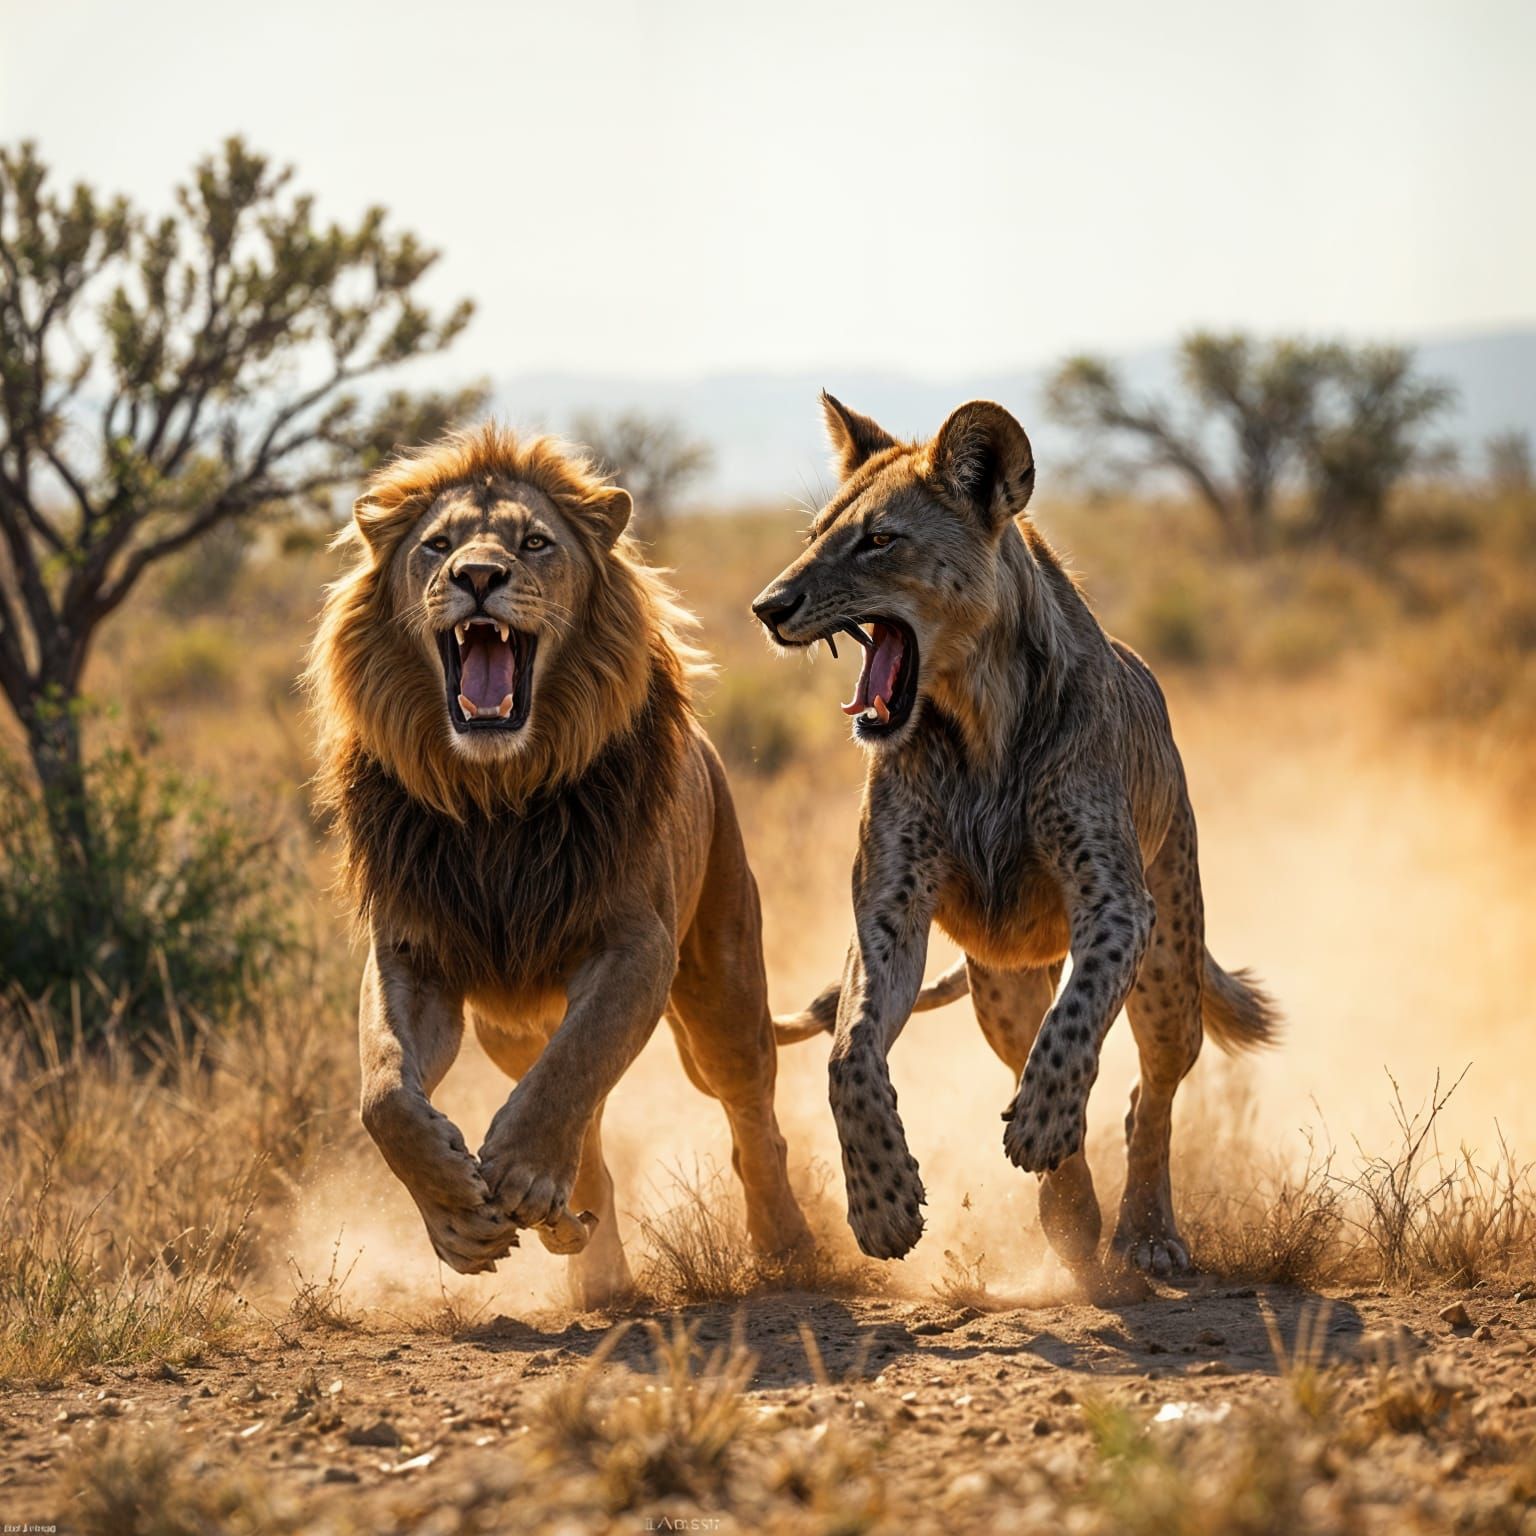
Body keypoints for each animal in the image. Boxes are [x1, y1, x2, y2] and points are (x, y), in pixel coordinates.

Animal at [306, 423, 820, 1305]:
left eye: (534, 543)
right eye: (437, 545)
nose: (477, 576)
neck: (496, 795)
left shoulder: (636, 947)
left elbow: (575, 1067)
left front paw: (516, 1170)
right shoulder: (413, 953)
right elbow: (383, 1091)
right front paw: (455, 1210)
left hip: (720, 989)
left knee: (750, 1117)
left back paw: (790, 1249)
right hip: (509, 1028)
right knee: (594, 1147)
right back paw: (590, 1266)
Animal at [750, 395, 1279, 1283]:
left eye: (879, 540)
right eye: (817, 531)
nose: (769, 605)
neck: (976, 711)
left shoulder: (1117, 902)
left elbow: (1078, 1019)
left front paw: (1041, 1122)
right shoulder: (888, 913)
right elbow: (850, 1054)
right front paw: (884, 1206)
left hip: (1170, 968)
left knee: (1150, 1095)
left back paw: (1145, 1233)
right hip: (998, 985)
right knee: (1028, 1050)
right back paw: (1070, 1217)